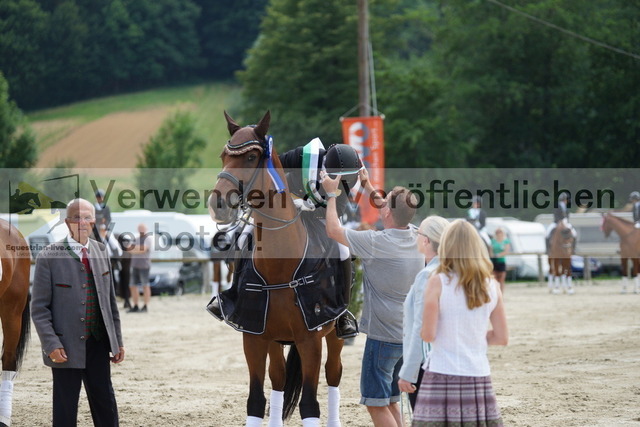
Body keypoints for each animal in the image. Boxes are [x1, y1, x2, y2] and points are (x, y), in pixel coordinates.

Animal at [208, 111, 344, 427]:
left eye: (251, 157)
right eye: (223, 156)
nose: (217, 204)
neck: (281, 270)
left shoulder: (310, 340)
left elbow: (310, 404)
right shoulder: (254, 337)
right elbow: (256, 400)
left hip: (334, 335)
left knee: (334, 373)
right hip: (274, 339)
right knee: (279, 378)